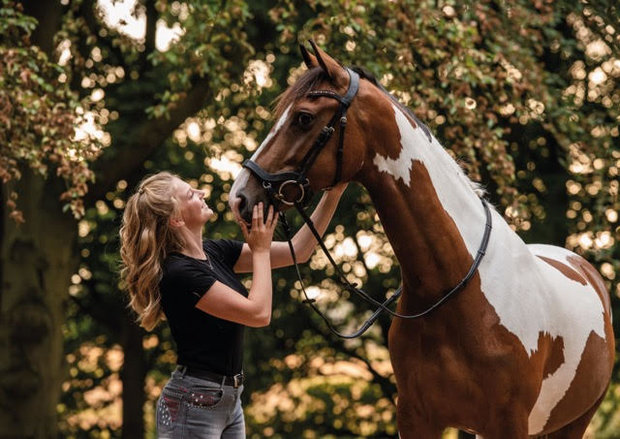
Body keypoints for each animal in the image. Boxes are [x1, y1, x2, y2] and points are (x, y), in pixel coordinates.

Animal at [228, 42, 616, 439]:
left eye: (303, 118)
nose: (239, 197)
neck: (455, 286)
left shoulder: (508, 424)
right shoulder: (416, 417)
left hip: (573, 422)